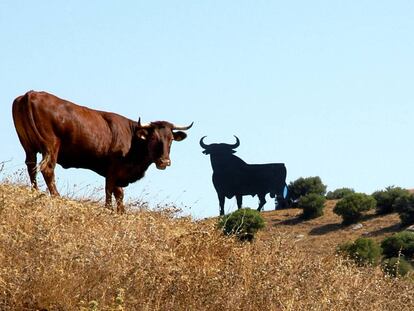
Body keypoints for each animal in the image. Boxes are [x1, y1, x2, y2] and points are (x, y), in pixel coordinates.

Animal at [12, 90, 193, 212]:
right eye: (153, 138)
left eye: (171, 139)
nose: (164, 161)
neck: (132, 138)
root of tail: (31, 93)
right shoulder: (112, 169)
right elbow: (109, 190)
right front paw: (110, 209)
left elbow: (119, 193)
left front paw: (121, 212)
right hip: (51, 146)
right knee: (47, 169)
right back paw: (56, 196)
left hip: (28, 146)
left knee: (31, 167)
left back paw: (35, 191)